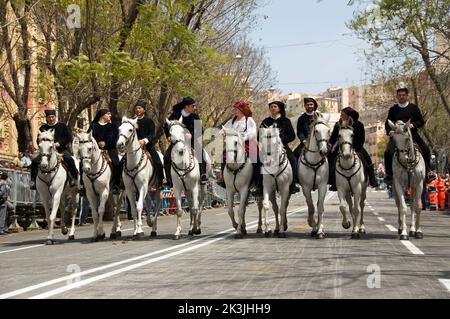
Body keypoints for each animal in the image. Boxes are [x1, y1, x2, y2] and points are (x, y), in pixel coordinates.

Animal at [298, 112, 330, 240]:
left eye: (328, 130)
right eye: (316, 131)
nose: (324, 151)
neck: (314, 161)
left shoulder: (322, 186)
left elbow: (320, 207)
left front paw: (320, 230)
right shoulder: (306, 188)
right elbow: (311, 206)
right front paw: (312, 224)